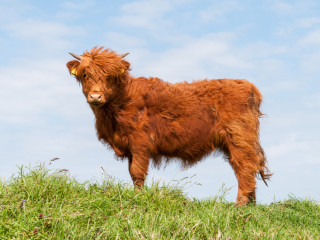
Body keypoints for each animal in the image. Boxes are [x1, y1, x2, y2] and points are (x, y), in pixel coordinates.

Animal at [66, 47, 272, 206]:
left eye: (109, 76)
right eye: (85, 75)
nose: (95, 96)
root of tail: (247, 85)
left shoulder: (140, 144)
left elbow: (137, 173)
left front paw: (138, 198)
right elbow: (132, 173)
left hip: (239, 139)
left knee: (245, 169)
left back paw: (240, 205)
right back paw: (250, 205)